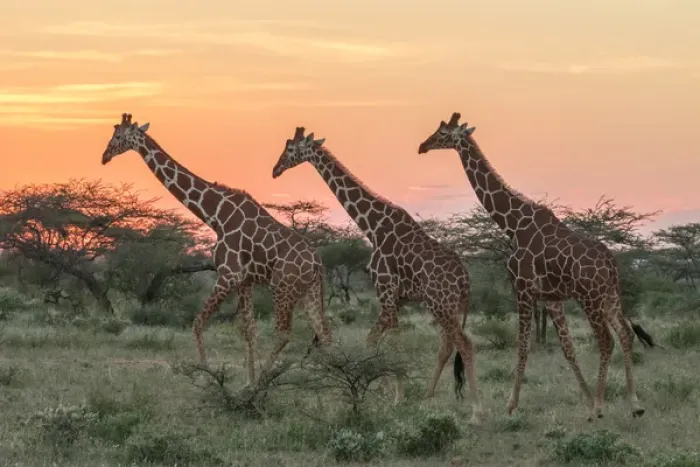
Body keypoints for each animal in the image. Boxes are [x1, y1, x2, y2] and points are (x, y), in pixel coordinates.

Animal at [101, 113, 332, 384]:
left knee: (286, 333)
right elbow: (248, 331)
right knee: (324, 332)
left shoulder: (227, 275)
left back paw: (266, 382)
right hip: (309, 290)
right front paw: (247, 380)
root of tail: (318, 263)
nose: (104, 156)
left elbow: (198, 323)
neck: (216, 216)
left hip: (283, 287)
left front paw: (207, 375)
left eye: (118, 136)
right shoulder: (244, 280)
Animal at [271, 127, 485, 421]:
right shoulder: (395, 298)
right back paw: (429, 398)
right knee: (448, 344)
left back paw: (476, 410)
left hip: (441, 303)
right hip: (447, 306)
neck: (372, 226)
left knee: (464, 344)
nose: (275, 170)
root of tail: (466, 280)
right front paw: (383, 390)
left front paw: (397, 396)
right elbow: (372, 340)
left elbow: (393, 340)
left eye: (291, 149)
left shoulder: (385, 288)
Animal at [417, 112, 655, 421]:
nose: (423, 146)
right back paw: (634, 403)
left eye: (443, 133)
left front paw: (511, 404)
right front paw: (586, 398)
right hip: (610, 295)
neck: (512, 224)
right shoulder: (552, 298)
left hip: (590, 298)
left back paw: (600, 409)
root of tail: (610, 262)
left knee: (606, 340)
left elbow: (522, 347)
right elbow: (568, 348)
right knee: (625, 335)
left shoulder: (522, 289)